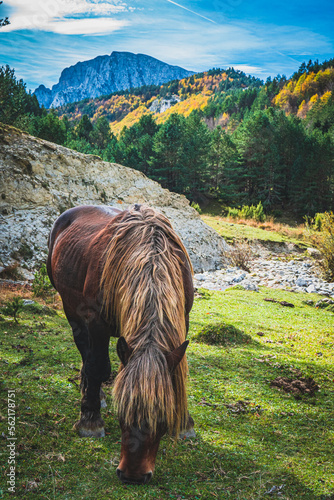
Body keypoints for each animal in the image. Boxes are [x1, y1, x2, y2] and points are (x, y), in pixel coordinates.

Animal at [45, 203, 194, 484]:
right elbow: (97, 367)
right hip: (72, 311)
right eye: (122, 412)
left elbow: (178, 374)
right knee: (87, 354)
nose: (133, 475)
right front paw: (90, 420)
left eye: (162, 417)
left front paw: (186, 422)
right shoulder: (95, 322)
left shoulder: (183, 317)